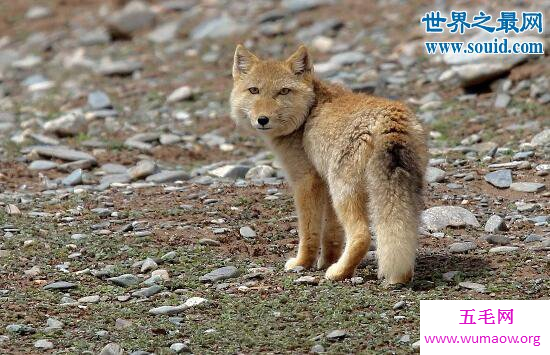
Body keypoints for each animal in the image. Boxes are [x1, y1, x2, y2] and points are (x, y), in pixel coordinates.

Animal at [231, 44, 430, 286]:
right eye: (254, 90)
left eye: (283, 92)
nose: (262, 119)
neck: (307, 115)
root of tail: (388, 118)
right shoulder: (324, 183)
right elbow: (331, 233)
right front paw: (326, 260)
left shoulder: (306, 182)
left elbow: (309, 232)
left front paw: (303, 263)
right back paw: (399, 276)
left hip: (343, 193)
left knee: (362, 235)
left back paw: (339, 273)